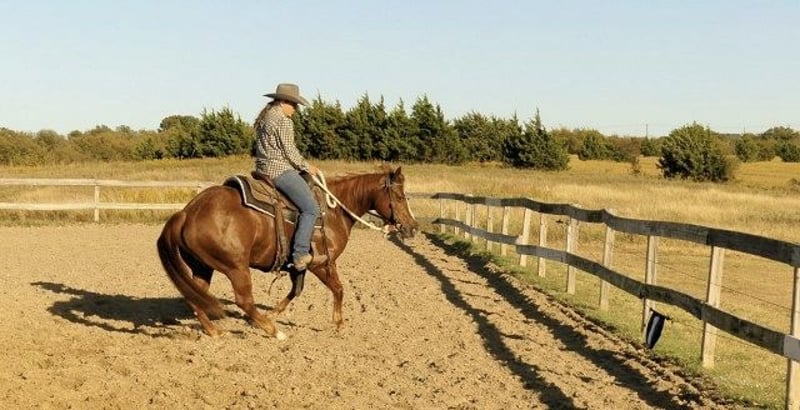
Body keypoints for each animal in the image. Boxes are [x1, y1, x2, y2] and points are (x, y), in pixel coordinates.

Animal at [157, 166, 419, 338]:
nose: (413, 227)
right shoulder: (321, 263)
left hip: (202, 267)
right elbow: (339, 289)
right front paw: (339, 324)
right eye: (399, 196)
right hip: (236, 267)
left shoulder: (297, 265)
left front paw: (274, 312)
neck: (332, 212)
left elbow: (296, 290)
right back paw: (273, 331)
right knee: (244, 300)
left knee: (196, 296)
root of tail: (187, 212)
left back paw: (215, 331)